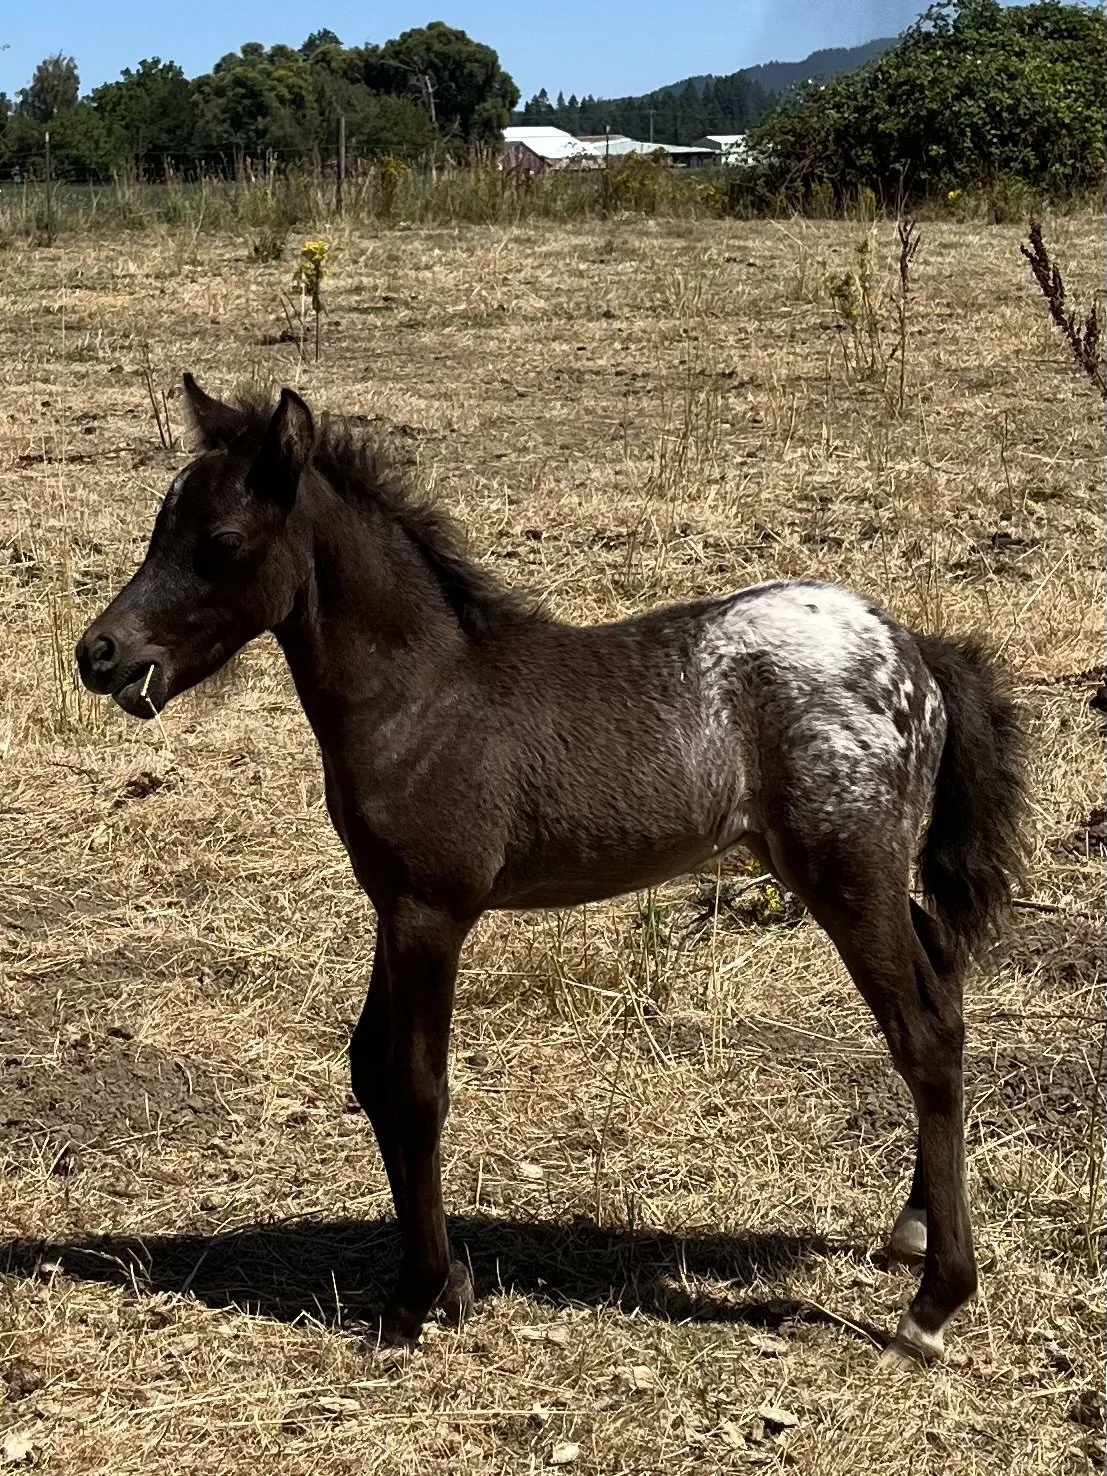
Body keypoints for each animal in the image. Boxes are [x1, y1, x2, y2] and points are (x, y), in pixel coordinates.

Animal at [76, 377, 1025, 1366]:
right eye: (159, 525)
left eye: (222, 541)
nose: (100, 654)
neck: (422, 697)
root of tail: (914, 651)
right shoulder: (391, 902)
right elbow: (369, 1069)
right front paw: (450, 1280)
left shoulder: (432, 910)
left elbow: (415, 1086)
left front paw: (413, 1303)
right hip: (854, 872)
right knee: (943, 981)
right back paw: (910, 1228)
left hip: (845, 871)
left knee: (922, 1032)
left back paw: (931, 1306)